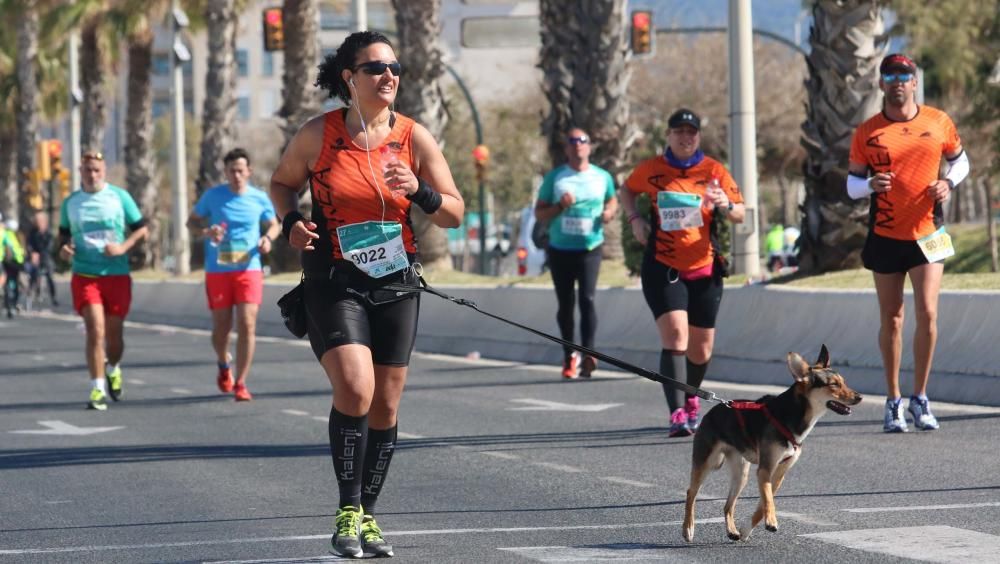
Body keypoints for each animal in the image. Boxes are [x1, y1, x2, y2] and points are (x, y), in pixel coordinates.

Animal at [684, 344, 864, 540]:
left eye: (843, 382)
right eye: (833, 384)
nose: (859, 397)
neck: (795, 415)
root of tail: (713, 410)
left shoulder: (778, 473)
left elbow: (763, 503)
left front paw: (748, 529)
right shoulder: (765, 469)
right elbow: (768, 500)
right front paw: (771, 521)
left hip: (741, 474)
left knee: (728, 505)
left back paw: (732, 530)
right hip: (705, 462)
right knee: (691, 493)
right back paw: (688, 528)